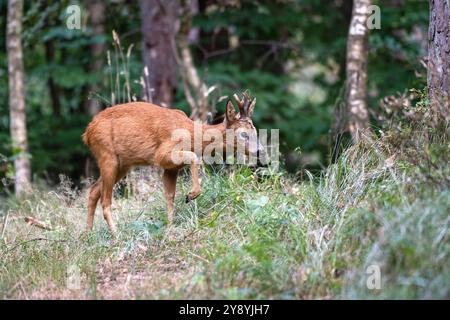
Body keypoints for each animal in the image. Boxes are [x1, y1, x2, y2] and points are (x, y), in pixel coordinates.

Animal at [82, 92, 262, 232]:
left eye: (255, 130)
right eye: (243, 134)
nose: (260, 150)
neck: (192, 135)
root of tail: (87, 132)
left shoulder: (172, 168)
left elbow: (170, 197)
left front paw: (169, 227)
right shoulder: (161, 154)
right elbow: (193, 157)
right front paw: (191, 195)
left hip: (122, 164)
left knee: (94, 190)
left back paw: (88, 234)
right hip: (107, 154)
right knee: (105, 201)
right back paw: (116, 234)